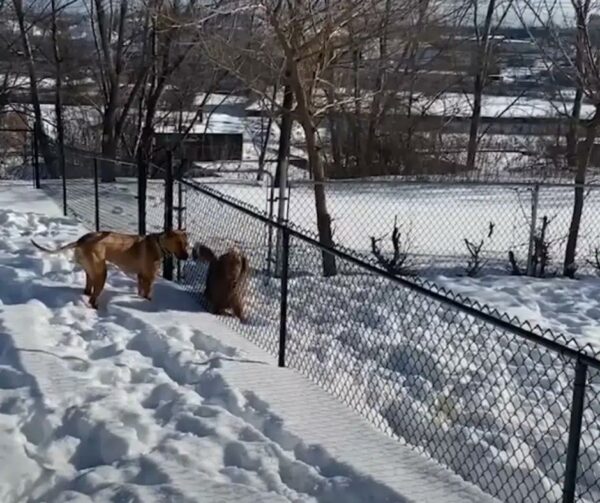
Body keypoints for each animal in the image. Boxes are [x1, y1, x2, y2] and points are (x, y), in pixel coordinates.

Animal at [30, 230, 189, 310]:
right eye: (178, 243)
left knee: (88, 290)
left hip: (91, 272)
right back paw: (96, 307)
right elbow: (148, 294)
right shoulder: (149, 277)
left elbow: (141, 291)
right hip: (101, 272)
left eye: (186, 243)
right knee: (93, 297)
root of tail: (81, 240)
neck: (159, 244)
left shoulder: (141, 276)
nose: (187, 256)